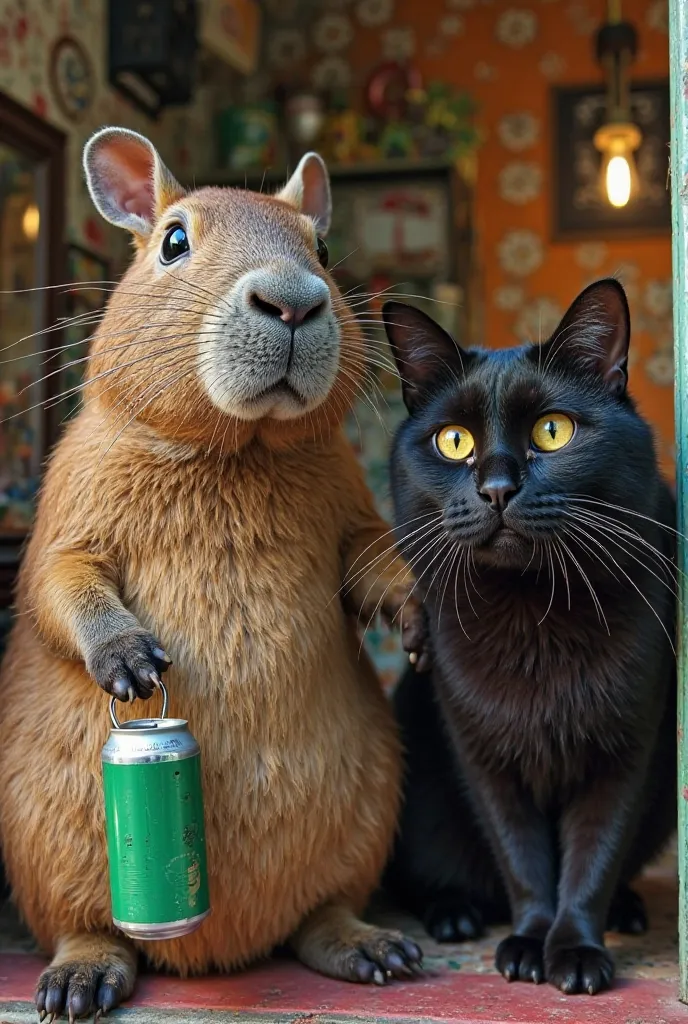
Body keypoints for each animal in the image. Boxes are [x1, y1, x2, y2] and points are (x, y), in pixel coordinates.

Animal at [384, 278, 675, 991]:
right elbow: (521, 854)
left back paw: (627, 911)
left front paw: (575, 952)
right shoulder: (481, 750)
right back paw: (455, 914)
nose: (495, 488)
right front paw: (528, 944)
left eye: (553, 431)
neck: (532, 613)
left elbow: (594, 854)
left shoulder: (626, 747)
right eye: (453, 441)